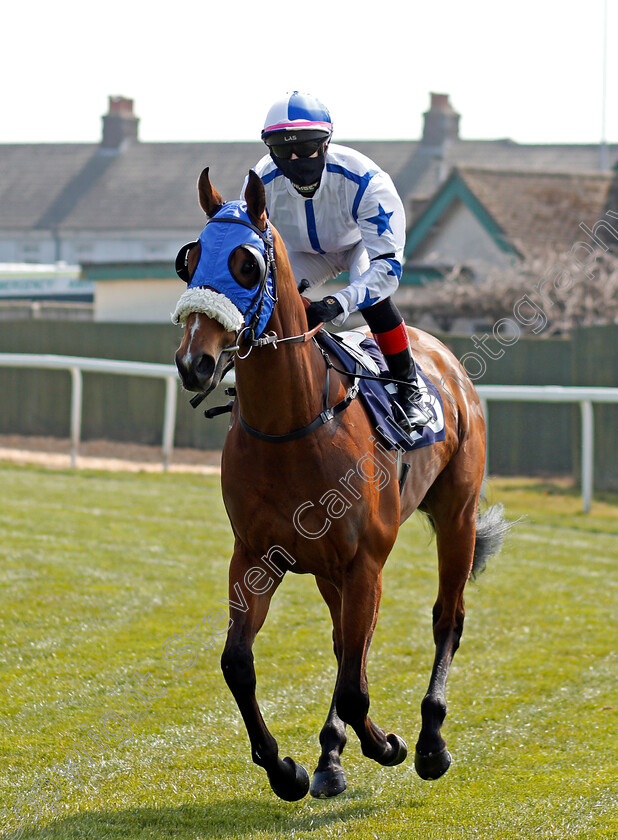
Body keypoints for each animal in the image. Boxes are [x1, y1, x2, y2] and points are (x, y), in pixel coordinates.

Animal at [172, 166, 506, 800]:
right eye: (190, 258)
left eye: (246, 264)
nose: (194, 362)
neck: (293, 426)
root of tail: (445, 359)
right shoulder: (256, 556)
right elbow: (238, 664)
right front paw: (287, 769)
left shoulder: (364, 561)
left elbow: (354, 687)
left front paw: (391, 746)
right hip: (331, 568)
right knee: (347, 643)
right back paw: (330, 755)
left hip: (455, 517)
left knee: (445, 619)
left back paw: (430, 741)